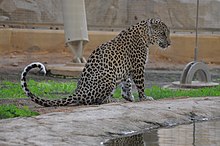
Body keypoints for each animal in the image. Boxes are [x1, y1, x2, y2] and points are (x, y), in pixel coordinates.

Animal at [20, 18, 171, 107]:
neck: (144, 35)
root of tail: (79, 91)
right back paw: (111, 100)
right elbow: (141, 85)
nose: (170, 43)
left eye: (167, 33)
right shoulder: (138, 67)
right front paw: (144, 98)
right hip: (109, 76)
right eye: (163, 33)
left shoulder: (127, 68)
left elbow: (127, 83)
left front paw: (129, 97)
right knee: (96, 101)